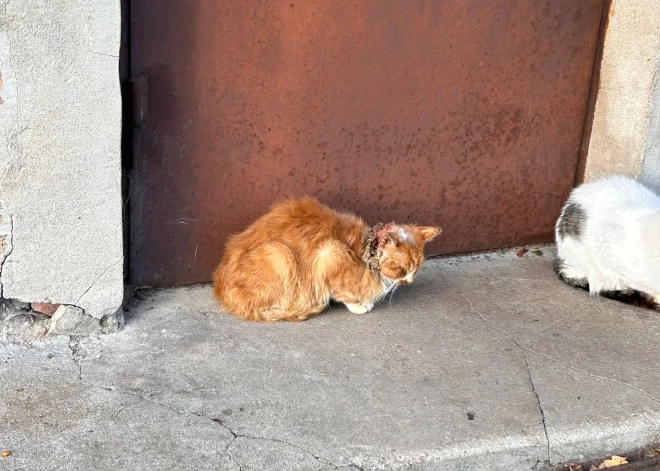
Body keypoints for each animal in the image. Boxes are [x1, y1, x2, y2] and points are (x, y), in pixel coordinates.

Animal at [214, 197, 440, 322]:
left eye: (416, 269)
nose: (409, 281)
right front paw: (360, 305)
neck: (361, 249)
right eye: (401, 269)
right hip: (280, 254)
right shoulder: (329, 255)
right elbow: (343, 293)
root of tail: (220, 291)